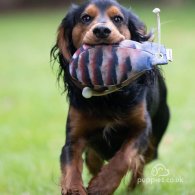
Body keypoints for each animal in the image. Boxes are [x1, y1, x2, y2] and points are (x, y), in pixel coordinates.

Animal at [51, 0, 170, 194]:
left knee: (140, 164)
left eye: (117, 19)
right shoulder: (74, 138)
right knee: (93, 158)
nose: (101, 30)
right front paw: (75, 188)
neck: (106, 97)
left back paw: (134, 188)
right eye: (85, 18)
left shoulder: (142, 129)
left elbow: (125, 157)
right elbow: (71, 166)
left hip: (154, 143)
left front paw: (102, 185)